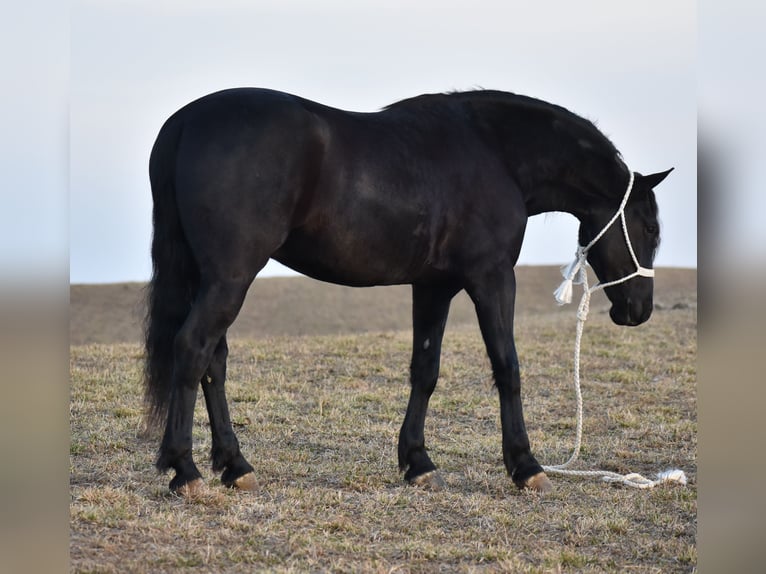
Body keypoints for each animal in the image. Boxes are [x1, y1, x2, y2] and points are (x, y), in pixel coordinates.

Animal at [144, 88, 672, 498]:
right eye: (648, 227)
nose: (639, 309)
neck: (495, 152)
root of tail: (184, 122)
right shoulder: (492, 278)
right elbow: (508, 366)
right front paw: (526, 466)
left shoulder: (434, 286)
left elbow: (426, 369)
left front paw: (418, 463)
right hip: (230, 277)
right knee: (192, 349)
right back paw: (185, 470)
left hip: (211, 279)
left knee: (213, 361)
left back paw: (235, 466)